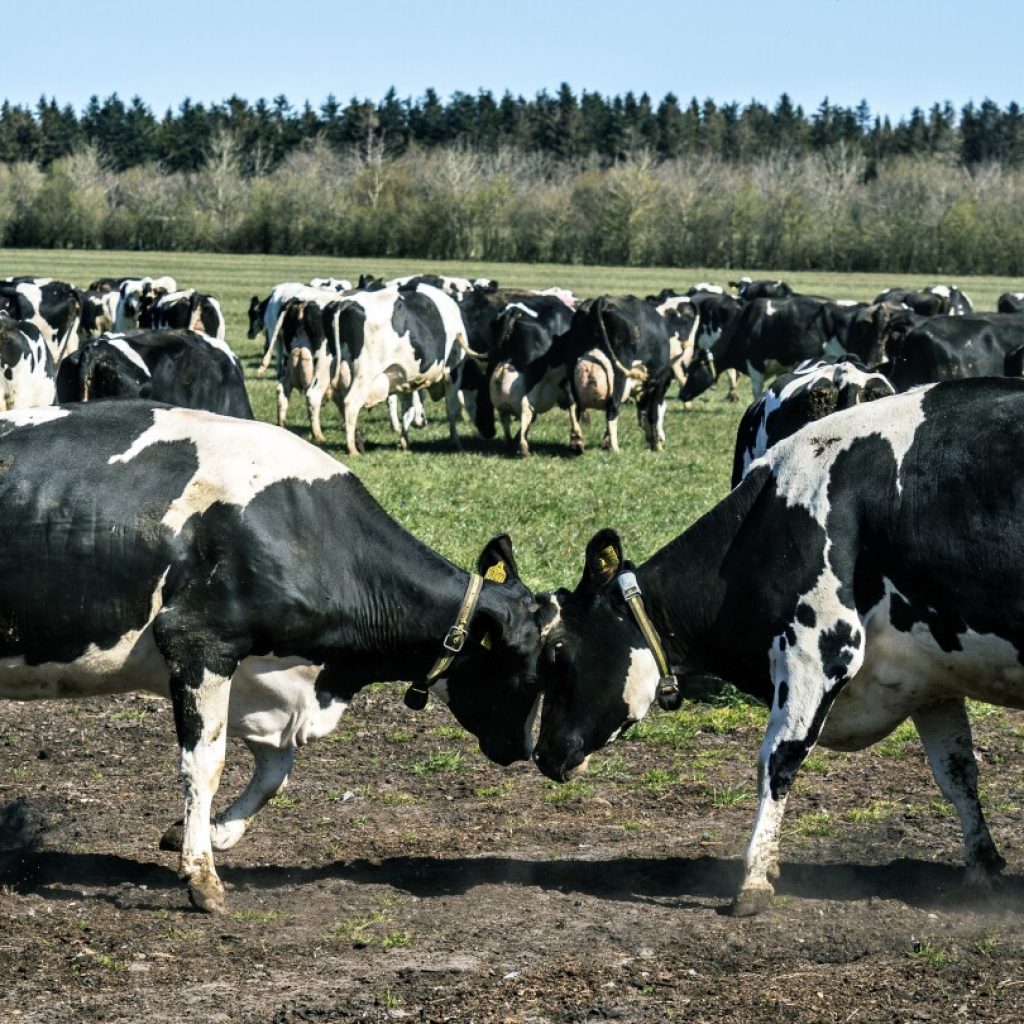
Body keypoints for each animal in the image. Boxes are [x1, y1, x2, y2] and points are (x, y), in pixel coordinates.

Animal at [0, 399, 548, 913]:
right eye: (532, 672)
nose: (527, 750)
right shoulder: (197, 641)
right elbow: (206, 764)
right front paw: (202, 876)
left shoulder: (264, 682)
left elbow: (274, 772)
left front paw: (209, 833)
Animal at [532, 378, 1024, 921]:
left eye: (556, 652)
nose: (541, 754)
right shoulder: (928, 673)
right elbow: (957, 771)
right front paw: (981, 867)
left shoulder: (819, 648)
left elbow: (777, 760)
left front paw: (753, 878)